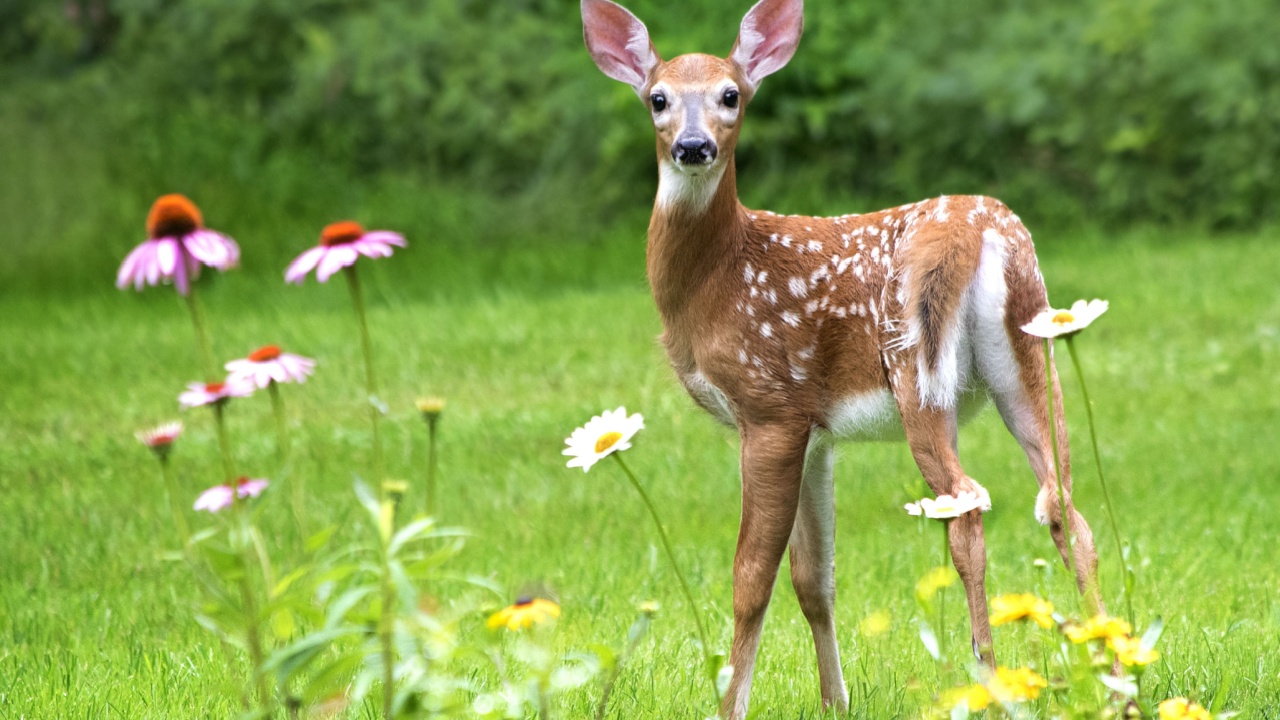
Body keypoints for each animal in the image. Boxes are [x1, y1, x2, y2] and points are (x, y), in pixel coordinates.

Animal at [580, 0, 1106, 716]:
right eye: (657, 98)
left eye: (730, 96)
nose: (693, 146)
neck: (716, 279)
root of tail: (979, 230)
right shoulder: (816, 431)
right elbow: (814, 579)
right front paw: (836, 700)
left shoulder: (769, 406)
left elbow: (753, 576)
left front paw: (731, 703)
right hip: (1029, 354)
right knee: (1065, 508)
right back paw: (1111, 666)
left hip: (916, 369)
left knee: (969, 505)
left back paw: (988, 679)